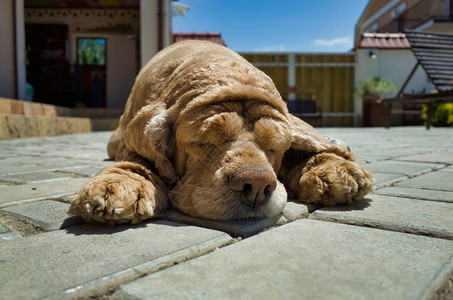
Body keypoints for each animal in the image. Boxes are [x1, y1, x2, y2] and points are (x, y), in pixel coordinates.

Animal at [66, 40, 370, 225]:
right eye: (204, 141)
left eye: (275, 146)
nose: (256, 184)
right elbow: (138, 159)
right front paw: (119, 185)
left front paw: (334, 169)